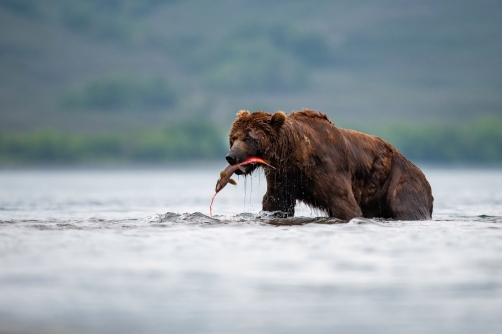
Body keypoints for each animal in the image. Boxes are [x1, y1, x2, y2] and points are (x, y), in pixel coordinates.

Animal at [226, 108, 434, 220]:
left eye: (248, 138)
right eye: (233, 138)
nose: (231, 157)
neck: (296, 154)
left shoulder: (328, 168)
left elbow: (344, 203)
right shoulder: (283, 176)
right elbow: (276, 203)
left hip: (399, 182)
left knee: (407, 208)